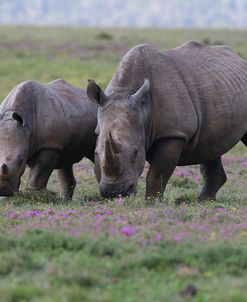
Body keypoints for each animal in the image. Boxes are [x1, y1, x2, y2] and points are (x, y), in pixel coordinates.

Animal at [86, 40, 247, 201]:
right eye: (95, 153)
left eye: (136, 152)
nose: (114, 193)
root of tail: (239, 59)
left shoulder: (173, 133)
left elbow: (157, 173)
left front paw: (152, 202)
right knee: (210, 145)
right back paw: (204, 200)